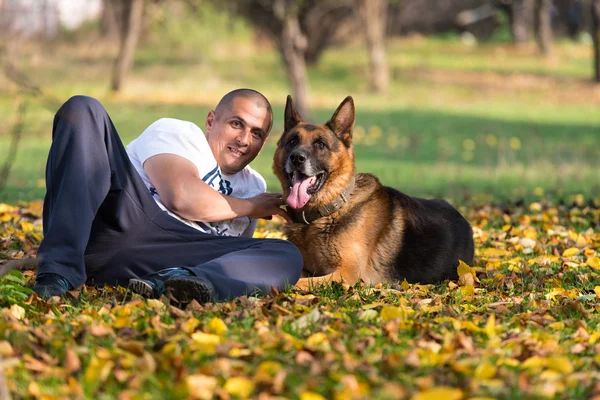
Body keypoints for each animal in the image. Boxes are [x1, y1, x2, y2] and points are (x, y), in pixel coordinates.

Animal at [272, 95, 474, 290]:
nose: (297, 157)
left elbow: (293, 281)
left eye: (320, 144)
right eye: (292, 141)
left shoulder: (346, 273)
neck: (329, 211)